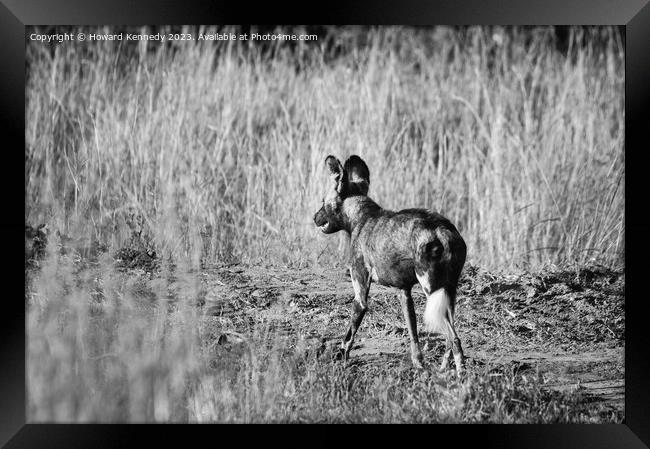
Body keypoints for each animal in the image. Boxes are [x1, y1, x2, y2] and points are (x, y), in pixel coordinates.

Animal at [312, 154, 466, 372]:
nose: (314, 217)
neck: (361, 218)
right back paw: (444, 371)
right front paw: (418, 365)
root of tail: (441, 230)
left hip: (432, 293)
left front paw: (341, 358)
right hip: (447, 295)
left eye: (323, 202)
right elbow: (413, 335)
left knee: (455, 339)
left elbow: (349, 335)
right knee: (449, 339)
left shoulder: (360, 294)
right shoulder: (404, 292)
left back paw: (461, 377)